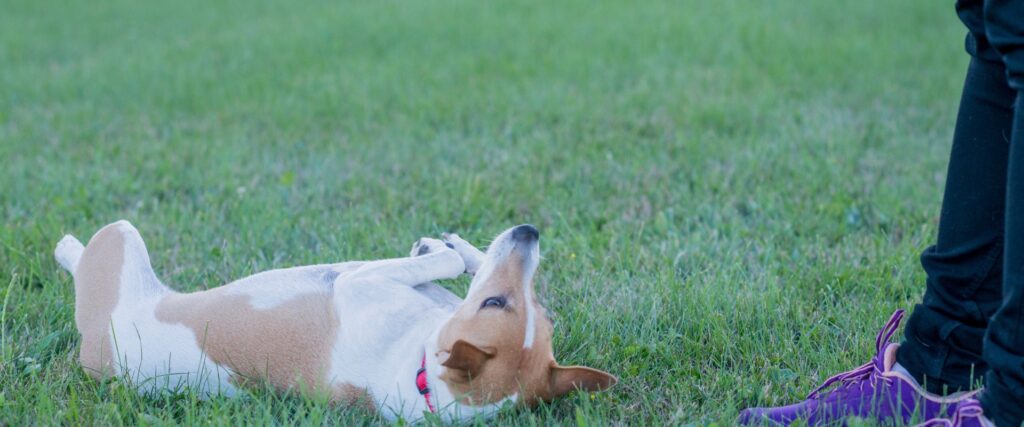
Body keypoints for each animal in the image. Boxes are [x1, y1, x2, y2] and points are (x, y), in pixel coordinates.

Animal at [51, 221, 614, 421]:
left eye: (495, 304)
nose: (529, 231)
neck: (422, 373)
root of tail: (94, 350)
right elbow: (459, 265)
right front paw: (461, 247)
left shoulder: (361, 282)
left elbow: (446, 263)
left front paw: (445, 247)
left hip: (119, 240)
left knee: (79, 255)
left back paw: (67, 248)